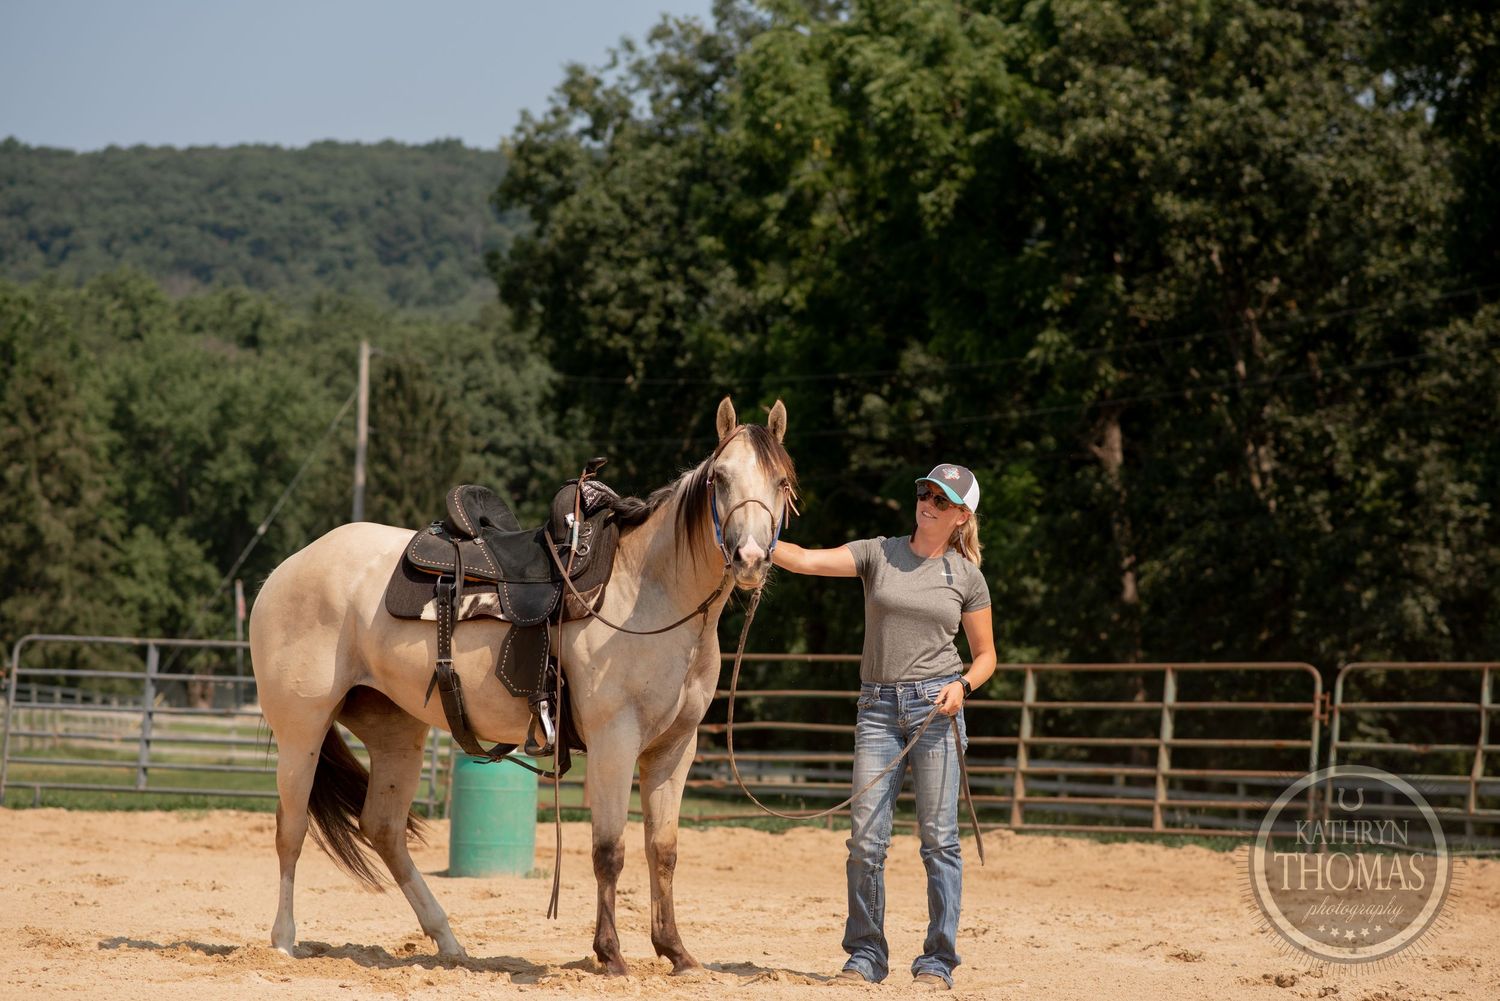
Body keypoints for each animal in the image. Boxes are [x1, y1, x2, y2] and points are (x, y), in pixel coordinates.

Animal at [248, 396, 796, 976]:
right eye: (720, 478)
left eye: (782, 481)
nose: (751, 559)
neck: (651, 592)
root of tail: (285, 570)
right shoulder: (614, 741)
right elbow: (609, 851)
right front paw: (611, 956)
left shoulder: (675, 748)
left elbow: (663, 850)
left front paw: (676, 952)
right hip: (302, 729)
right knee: (291, 828)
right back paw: (284, 941)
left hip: (395, 730)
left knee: (383, 829)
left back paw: (447, 941)